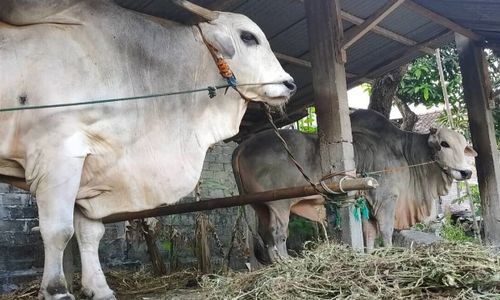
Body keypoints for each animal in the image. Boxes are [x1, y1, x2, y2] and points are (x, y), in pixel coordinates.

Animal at [0, 1, 294, 298]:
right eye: (248, 37)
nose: (289, 84)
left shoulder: (90, 171)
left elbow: (90, 233)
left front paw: (99, 288)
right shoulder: (58, 154)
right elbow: (57, 230)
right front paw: (56, 289)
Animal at [234, 109, 476, 262]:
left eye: (464, 145)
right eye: (444, 144)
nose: (467, 172)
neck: (405, 152)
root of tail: (242, 146)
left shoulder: (368, 203)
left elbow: (369, 234)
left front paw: (369, 255)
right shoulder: (386, 199)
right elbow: (386, 230)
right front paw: (389, 253)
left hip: (260, 206)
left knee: (265, 234)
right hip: (279, 203)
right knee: (277, 233)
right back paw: (288, 264)